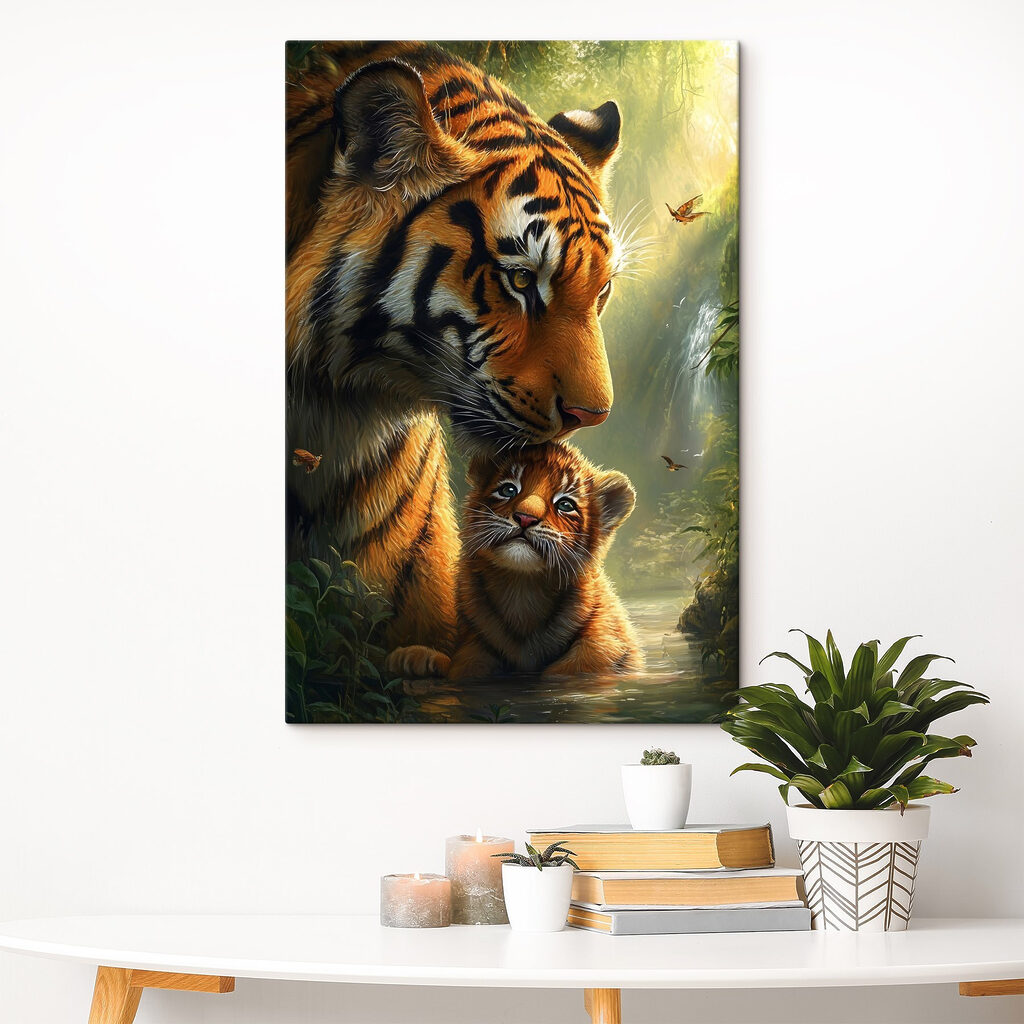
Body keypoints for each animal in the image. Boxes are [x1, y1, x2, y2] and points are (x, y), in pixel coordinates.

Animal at [388, 442, 643, 679]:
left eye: (565, 504)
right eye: (508, 489)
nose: (525, 517)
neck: (522, 590)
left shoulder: (607, 639)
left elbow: (588, 657)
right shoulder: (475, 643)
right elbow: (467, 665)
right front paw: (412, 658)